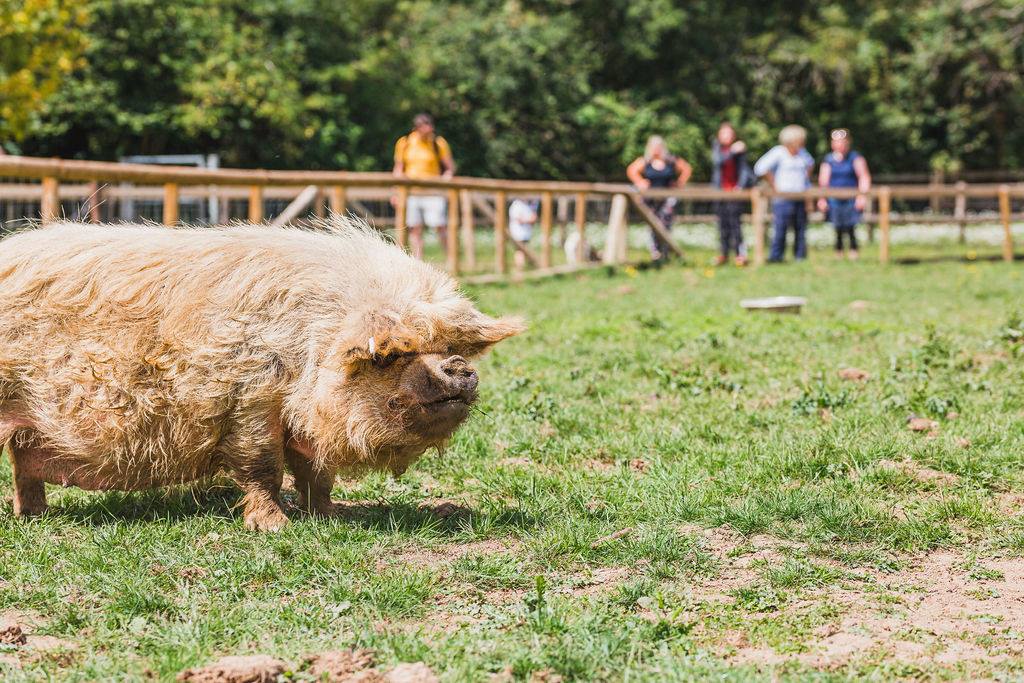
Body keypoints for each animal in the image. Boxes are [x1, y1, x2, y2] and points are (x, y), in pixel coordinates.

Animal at [0, 222, 520, 532]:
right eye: (389, 358)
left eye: (448, 347)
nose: (460, 369)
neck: (306, 353)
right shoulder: (250, 403)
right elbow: (262, 468)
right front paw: (275, 527)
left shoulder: (299, 420)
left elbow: (317, 473)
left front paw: (329, 515)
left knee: (24, 465)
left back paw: (35, 518)